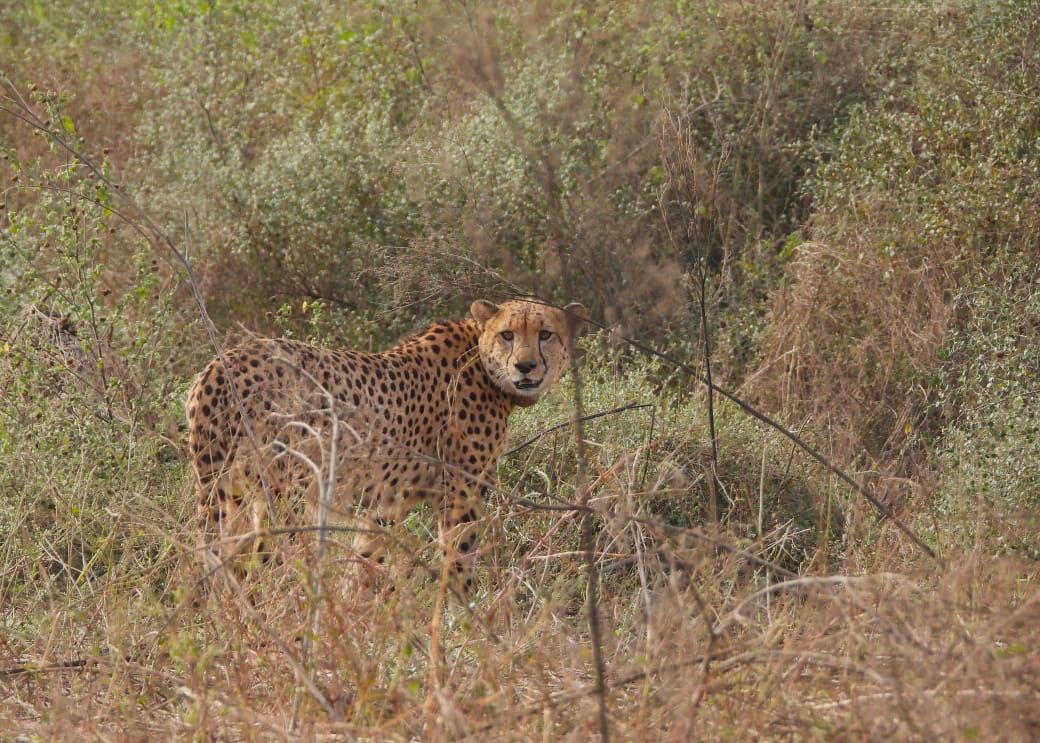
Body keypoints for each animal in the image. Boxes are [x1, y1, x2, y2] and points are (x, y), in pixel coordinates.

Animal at [185, 298, 586, 598]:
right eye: (507, 335)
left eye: (545, 334)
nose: (525, 366)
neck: (482, 360)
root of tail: (221, 363)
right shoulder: (461, 493)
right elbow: (458, 559)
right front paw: (462, 618)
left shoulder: (387, 503)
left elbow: (366, 558)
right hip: (286, 495)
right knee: (269, 562)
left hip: (232, 493)